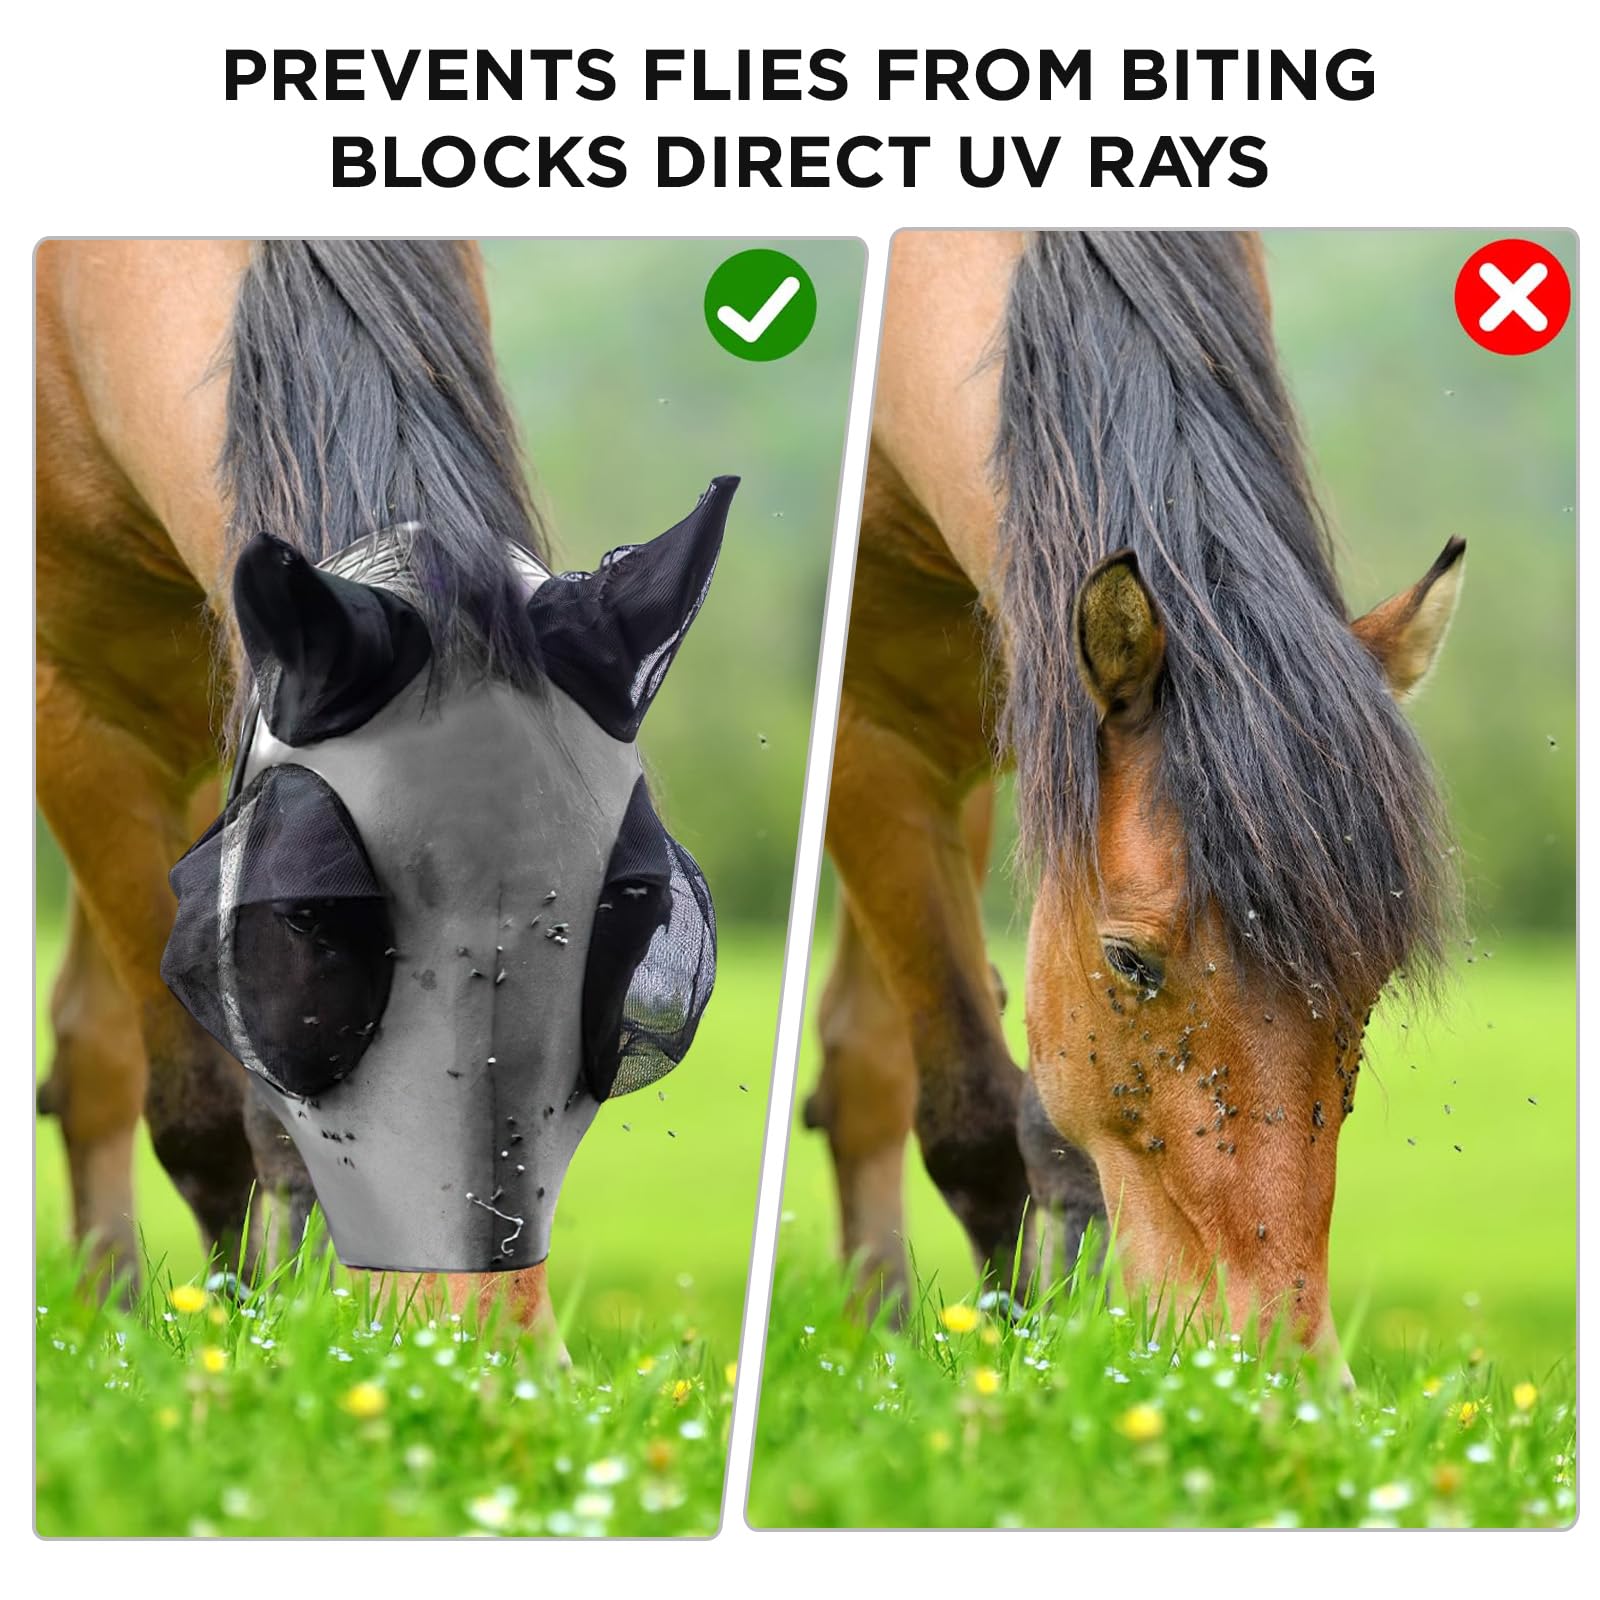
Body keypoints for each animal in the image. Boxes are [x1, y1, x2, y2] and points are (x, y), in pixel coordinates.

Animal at [36, 240, 722, 1337]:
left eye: (635, 901)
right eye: (308, 915)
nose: (480, 1344)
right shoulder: (79, 710)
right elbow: (202, 1115)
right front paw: (242, 1336)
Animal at [804, 231, 1463, 1350]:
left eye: (1370, 979)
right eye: (1130, 961)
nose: (1274, 1353)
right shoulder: (872, 739)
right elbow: (975, 1118)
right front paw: (1009, 1350)